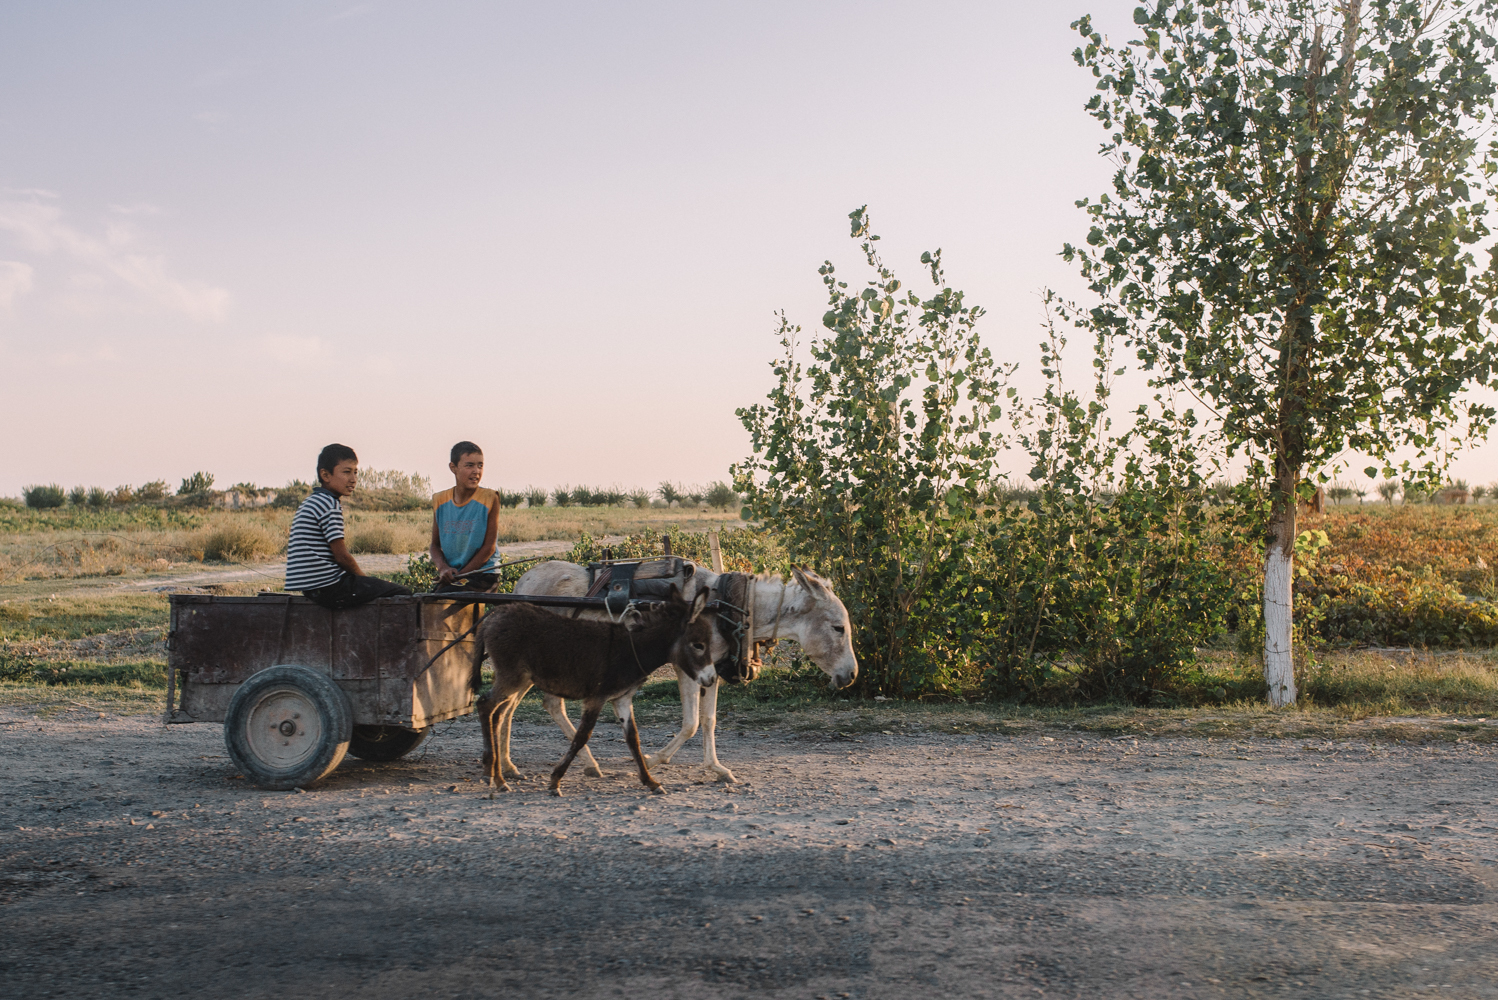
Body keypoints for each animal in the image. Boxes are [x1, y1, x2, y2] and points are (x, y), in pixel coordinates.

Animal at [476, 586, 716, 796]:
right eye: (698, 645)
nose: (712, 679)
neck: (633, 649)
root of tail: (497, 612)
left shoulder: (621, 700)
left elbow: (633, 739)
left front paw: (651, 782)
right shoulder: (596, 698)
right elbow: (582, 736)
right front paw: (555, 781)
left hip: (518, 680)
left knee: (497, 714)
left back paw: (497, 775)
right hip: (512, 677)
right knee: (485, 705)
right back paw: (494, 776)